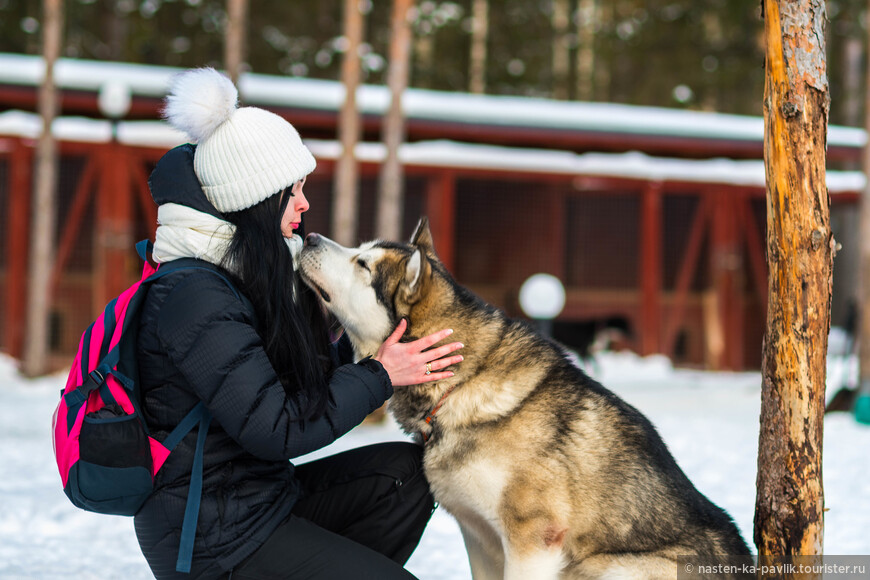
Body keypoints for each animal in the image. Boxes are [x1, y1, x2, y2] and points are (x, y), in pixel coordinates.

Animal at [296, 219, 752, 580]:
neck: (463, 383)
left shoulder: (532, 541)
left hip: (606, 566)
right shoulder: (478, 537)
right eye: (359, 251)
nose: (310, 235)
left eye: (362, 264)